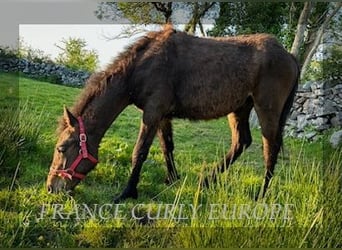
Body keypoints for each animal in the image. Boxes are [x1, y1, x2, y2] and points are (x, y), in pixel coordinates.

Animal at [46, 24, 300, 202]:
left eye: (61, 148)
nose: (50, 187)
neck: (141, 66)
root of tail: (289, 56)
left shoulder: (152, 113)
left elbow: (139, 152)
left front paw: (127, 192)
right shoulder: (162, 116)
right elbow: (167, 147)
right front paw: (172, 179)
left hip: (266, 111)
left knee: (270, 149)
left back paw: (261, 194)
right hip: (239, 109)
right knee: (241, 142)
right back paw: (206, 181)